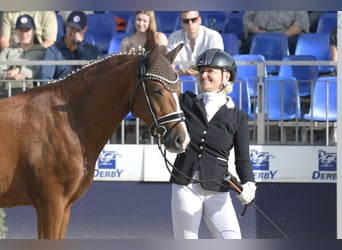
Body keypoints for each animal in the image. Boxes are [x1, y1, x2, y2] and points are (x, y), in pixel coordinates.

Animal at [0, 44, 190, 238]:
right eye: (157, 90)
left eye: (179, 91)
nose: (181, 139)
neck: (67, 120)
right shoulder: (50, 205)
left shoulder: (64, 208)